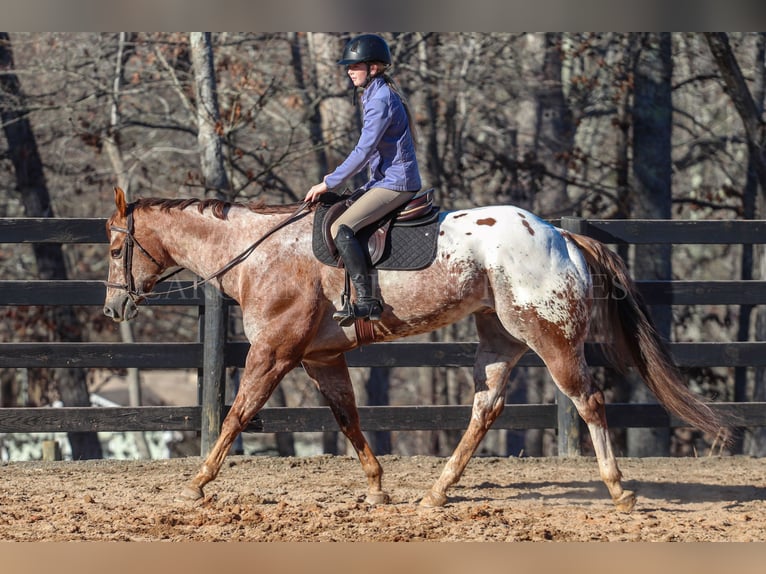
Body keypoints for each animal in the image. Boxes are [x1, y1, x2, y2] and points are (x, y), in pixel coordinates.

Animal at [103, 188, 732, 512]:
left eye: (114, 247)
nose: (113, 309)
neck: (261, 251)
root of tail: (562, 236)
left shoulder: (274, 353)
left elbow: (237, 414)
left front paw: (198, 481)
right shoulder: (320, 358)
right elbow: (349, 419)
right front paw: (378, 487)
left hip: (550, 338)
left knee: (589, 402)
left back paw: (619, 490)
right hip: (499, 338)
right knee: (486, 407)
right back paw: (437, 491)